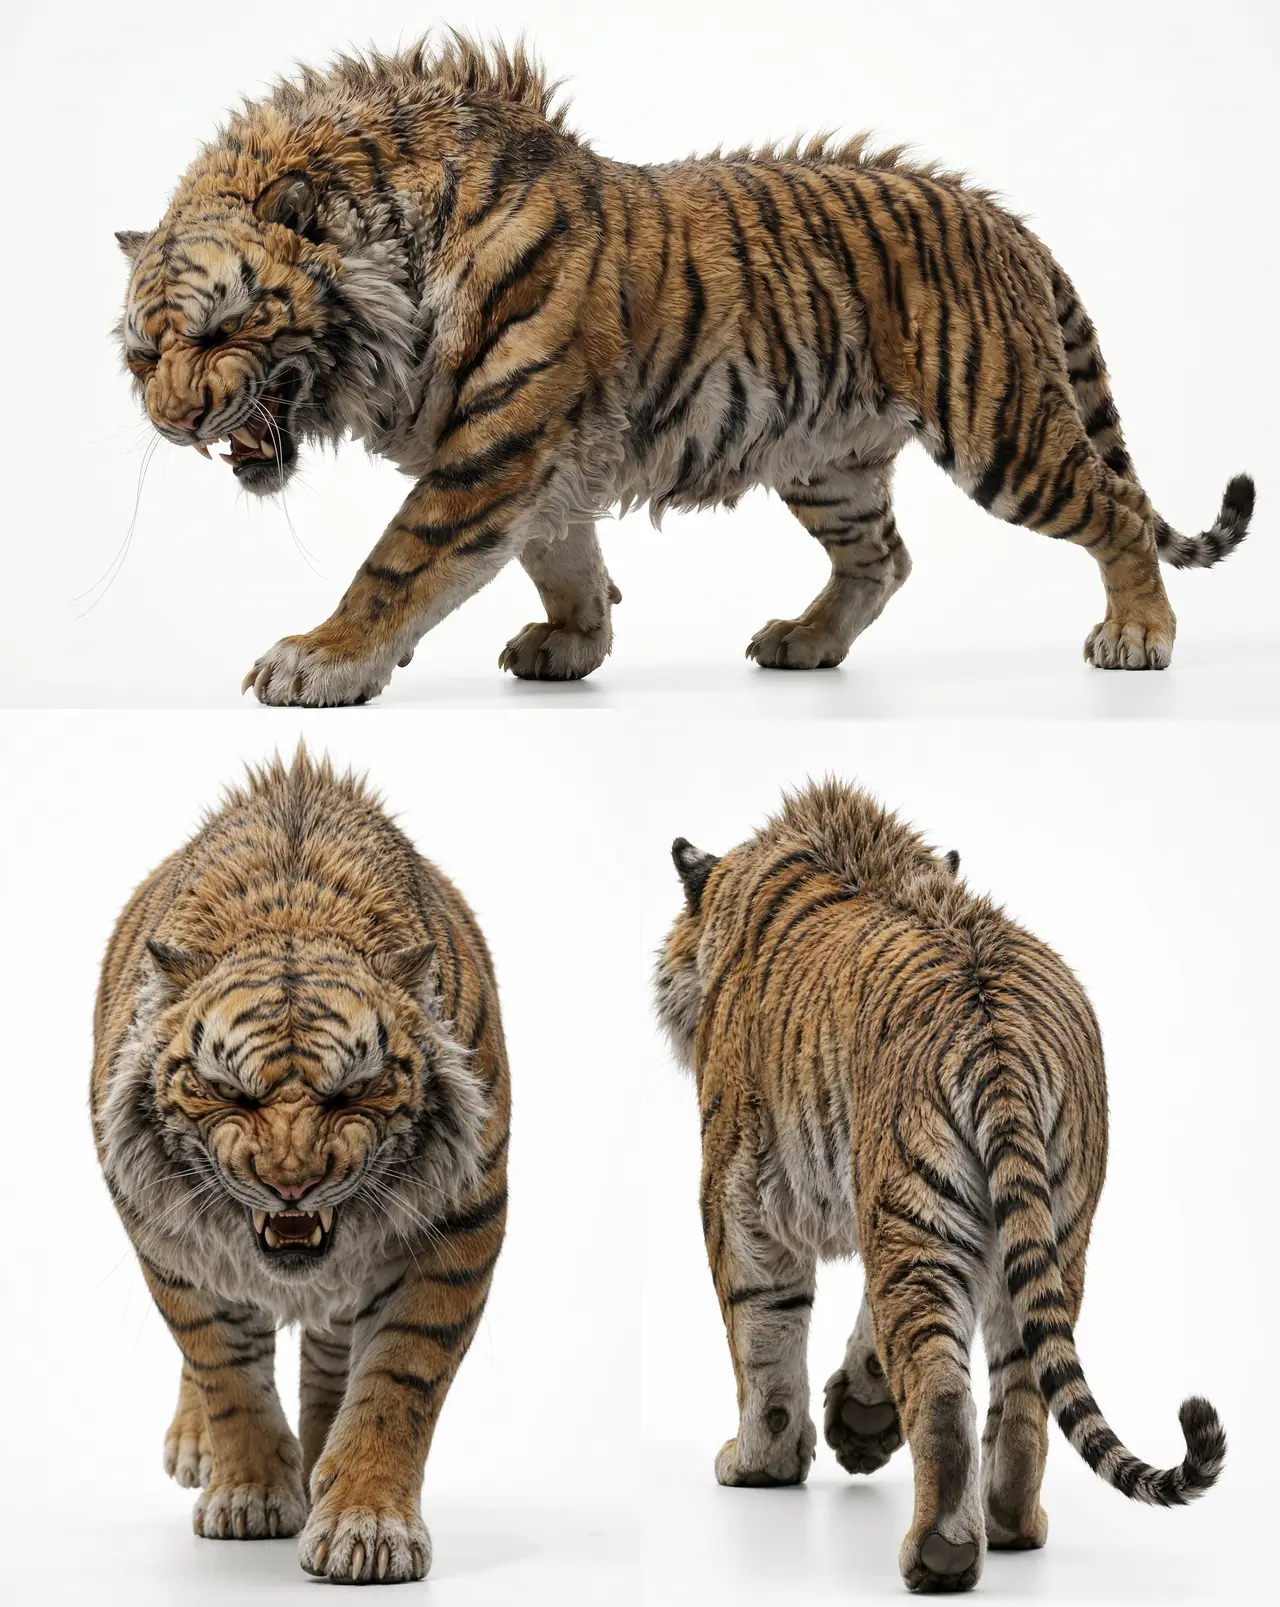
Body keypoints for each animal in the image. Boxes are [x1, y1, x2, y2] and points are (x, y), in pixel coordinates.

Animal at [90, 747, 508, 1584]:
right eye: (228, 1092)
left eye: (354, 1089)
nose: (292, 1183)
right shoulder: (164, 1239)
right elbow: (225, 1369)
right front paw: (249, 1494)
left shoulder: (459, 1227)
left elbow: (397, 1381)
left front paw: (365, 1526)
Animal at [115, 36, 1254, 706]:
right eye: (141, 355)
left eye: (217, 333)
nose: (171, 421)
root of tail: (1000, 215)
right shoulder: (541, 460)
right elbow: (562, 561)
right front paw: (571, 646)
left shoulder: (495, 448)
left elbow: (399, 560)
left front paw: (317, 658)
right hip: (828, 461)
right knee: (882, 558)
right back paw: (804, 640)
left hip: (1002, 428)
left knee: (1112, 508)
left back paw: (1136, 633)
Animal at [652, 778, 1225, 1594]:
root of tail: (999, 1030)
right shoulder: (877, 1195)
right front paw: (859, 1420)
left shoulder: (741, 1195)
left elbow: (760, 1333)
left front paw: (761, 1463)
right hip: (1044, 1227)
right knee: (1023, 1390)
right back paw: (1011, 1523)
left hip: (922, 1225)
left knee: (945, 1392)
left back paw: (941, 1552)